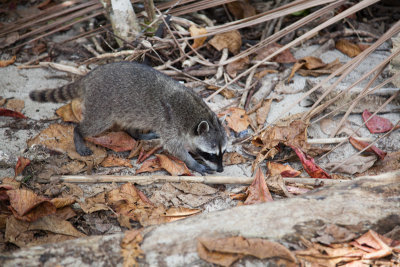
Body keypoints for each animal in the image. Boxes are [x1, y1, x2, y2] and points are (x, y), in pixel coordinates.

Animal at [29, 62, 227, 176]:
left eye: (223, 152)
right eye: (210, 154)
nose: (221, 169)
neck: (196, 115)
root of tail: (89, 77)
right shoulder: (171, 122)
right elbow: (174, 147)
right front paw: (192, 163)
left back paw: (138, 134)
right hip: (102, 105)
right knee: (93, 125)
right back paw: (79, 133)